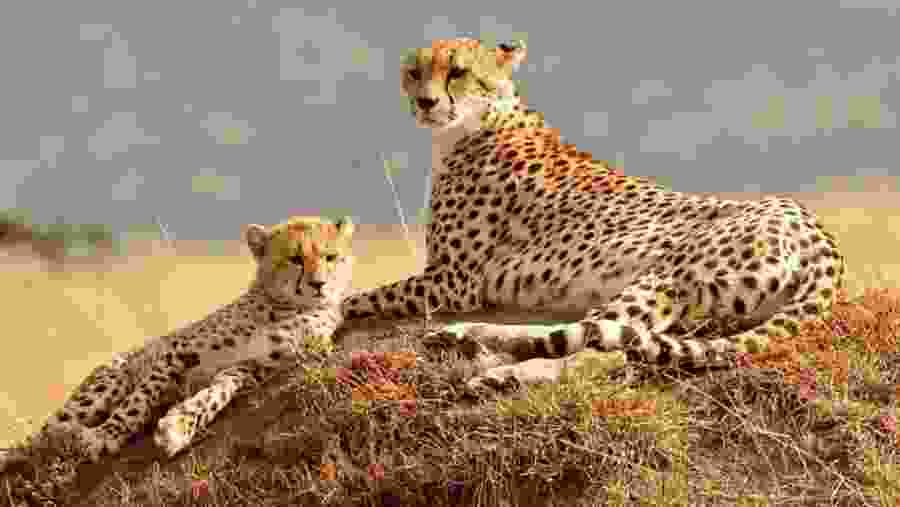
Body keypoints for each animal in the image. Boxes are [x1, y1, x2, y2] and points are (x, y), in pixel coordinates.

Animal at [7, 215, 354, 465]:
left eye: (331, 257)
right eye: (295, 259)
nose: (319, 284)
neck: (284, 306)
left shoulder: (249, 368)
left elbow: (215, 394)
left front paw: (177, 427)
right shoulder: (178, 351)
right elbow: (139, 400)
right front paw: (107, 434)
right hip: (105, 385)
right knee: (33, 440)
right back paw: (60, 435)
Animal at [340, 37, 846, 391]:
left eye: (458, 72)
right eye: (414, 71)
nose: (424, 101)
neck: (479, 122)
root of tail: (818, 231)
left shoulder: (453, 280)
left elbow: (357, 297)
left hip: (664, 277)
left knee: (604, 345)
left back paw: (497, 363)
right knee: (602, 338)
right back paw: (474, 344)